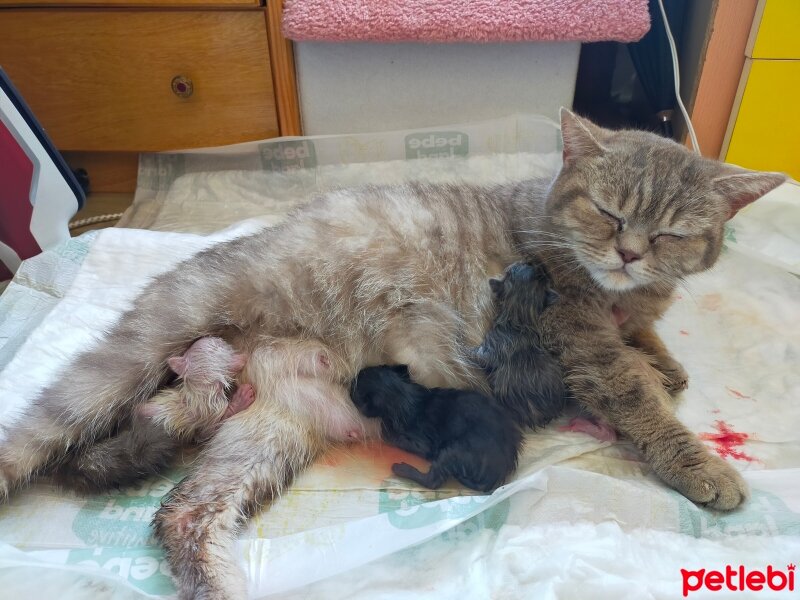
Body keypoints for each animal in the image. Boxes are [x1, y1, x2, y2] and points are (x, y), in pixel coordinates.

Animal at [350, 366, 520, 492]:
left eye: (353, 389)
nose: (351, 380)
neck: (404, 395)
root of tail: (498, 473)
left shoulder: (422, 443)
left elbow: (391, 435)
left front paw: (386, 429)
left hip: (452, 452)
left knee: (433, 481)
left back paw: (401, 468)